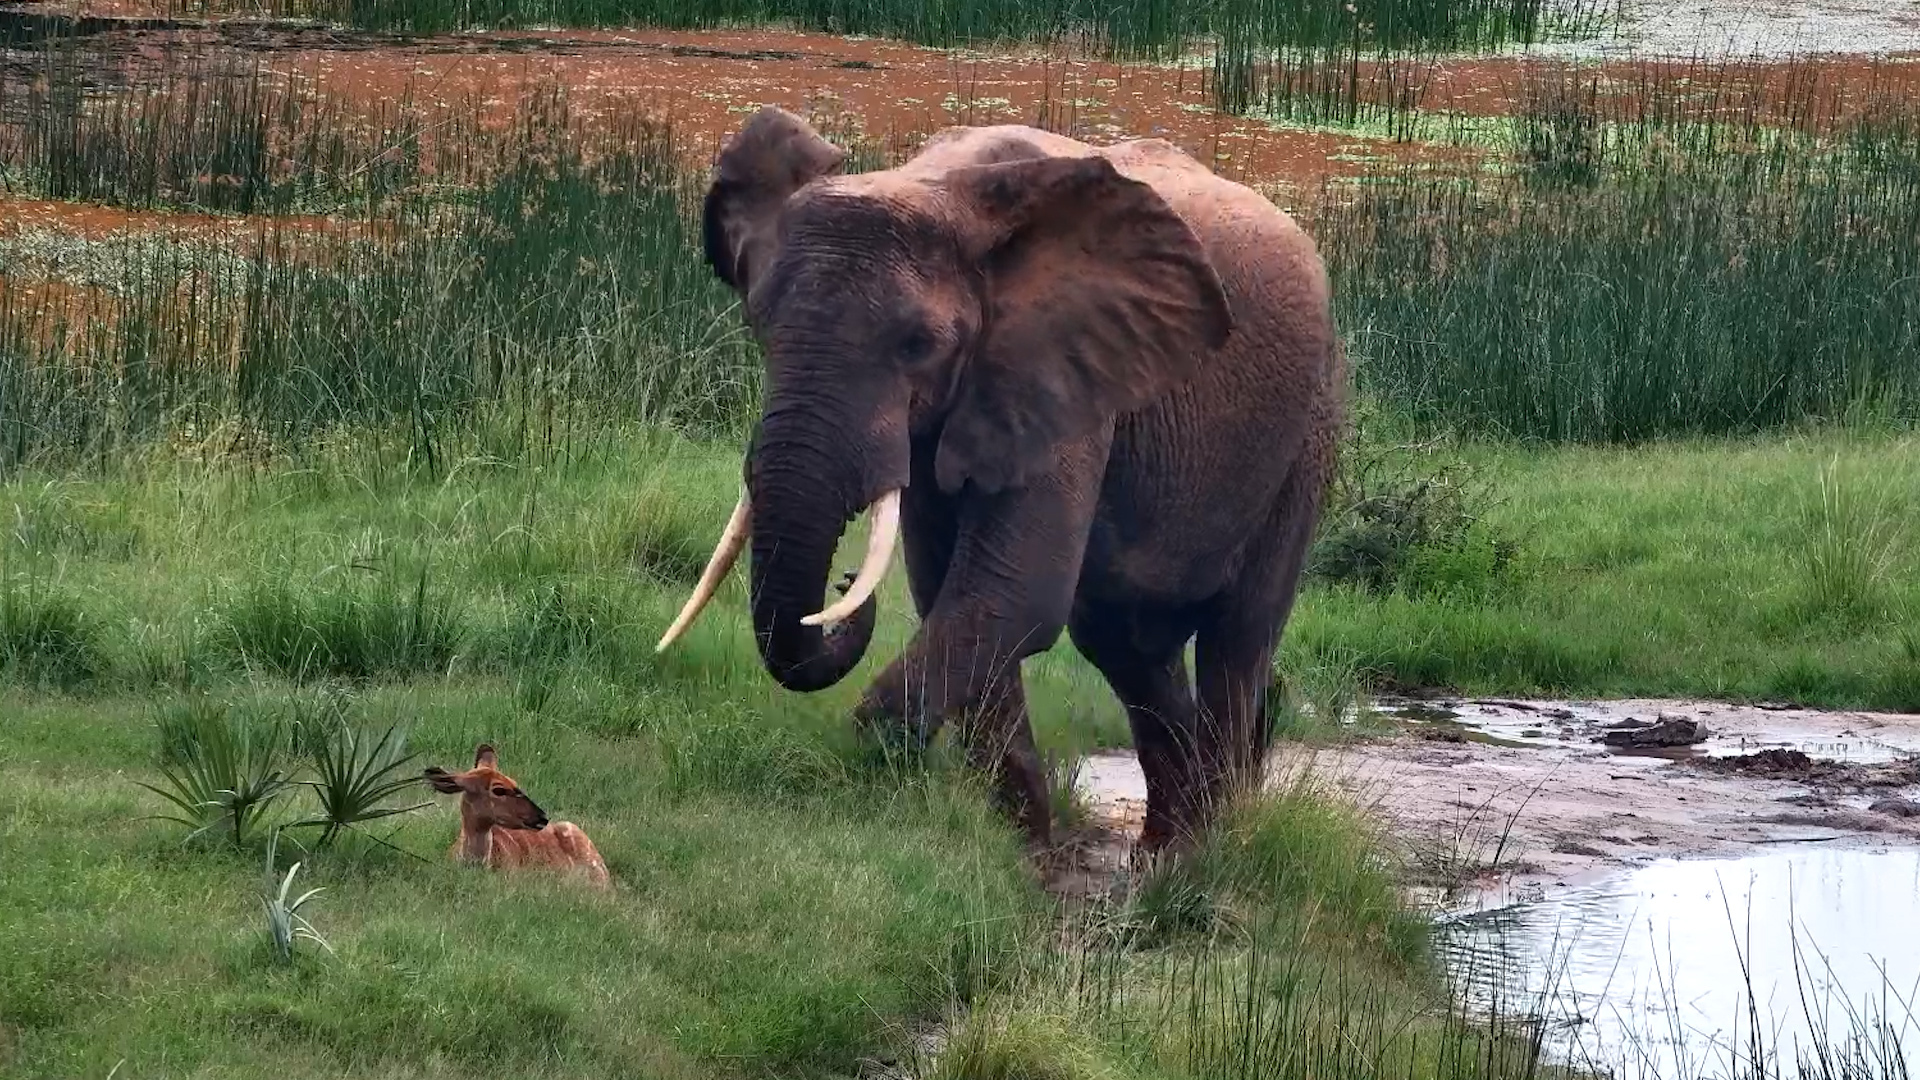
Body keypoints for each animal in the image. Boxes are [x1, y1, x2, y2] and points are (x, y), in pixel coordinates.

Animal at [657, 106, 1345, 853]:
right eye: (760, 325)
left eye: (919, 345)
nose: (841, 586)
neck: (931, 186)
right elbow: (956, 595)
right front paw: (1028, 854)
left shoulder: (1063, 367)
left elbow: (1012, 593)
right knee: (1127, 643)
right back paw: (1162, 855)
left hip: (1307, 431)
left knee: (1236, 640)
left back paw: (1202, 855)